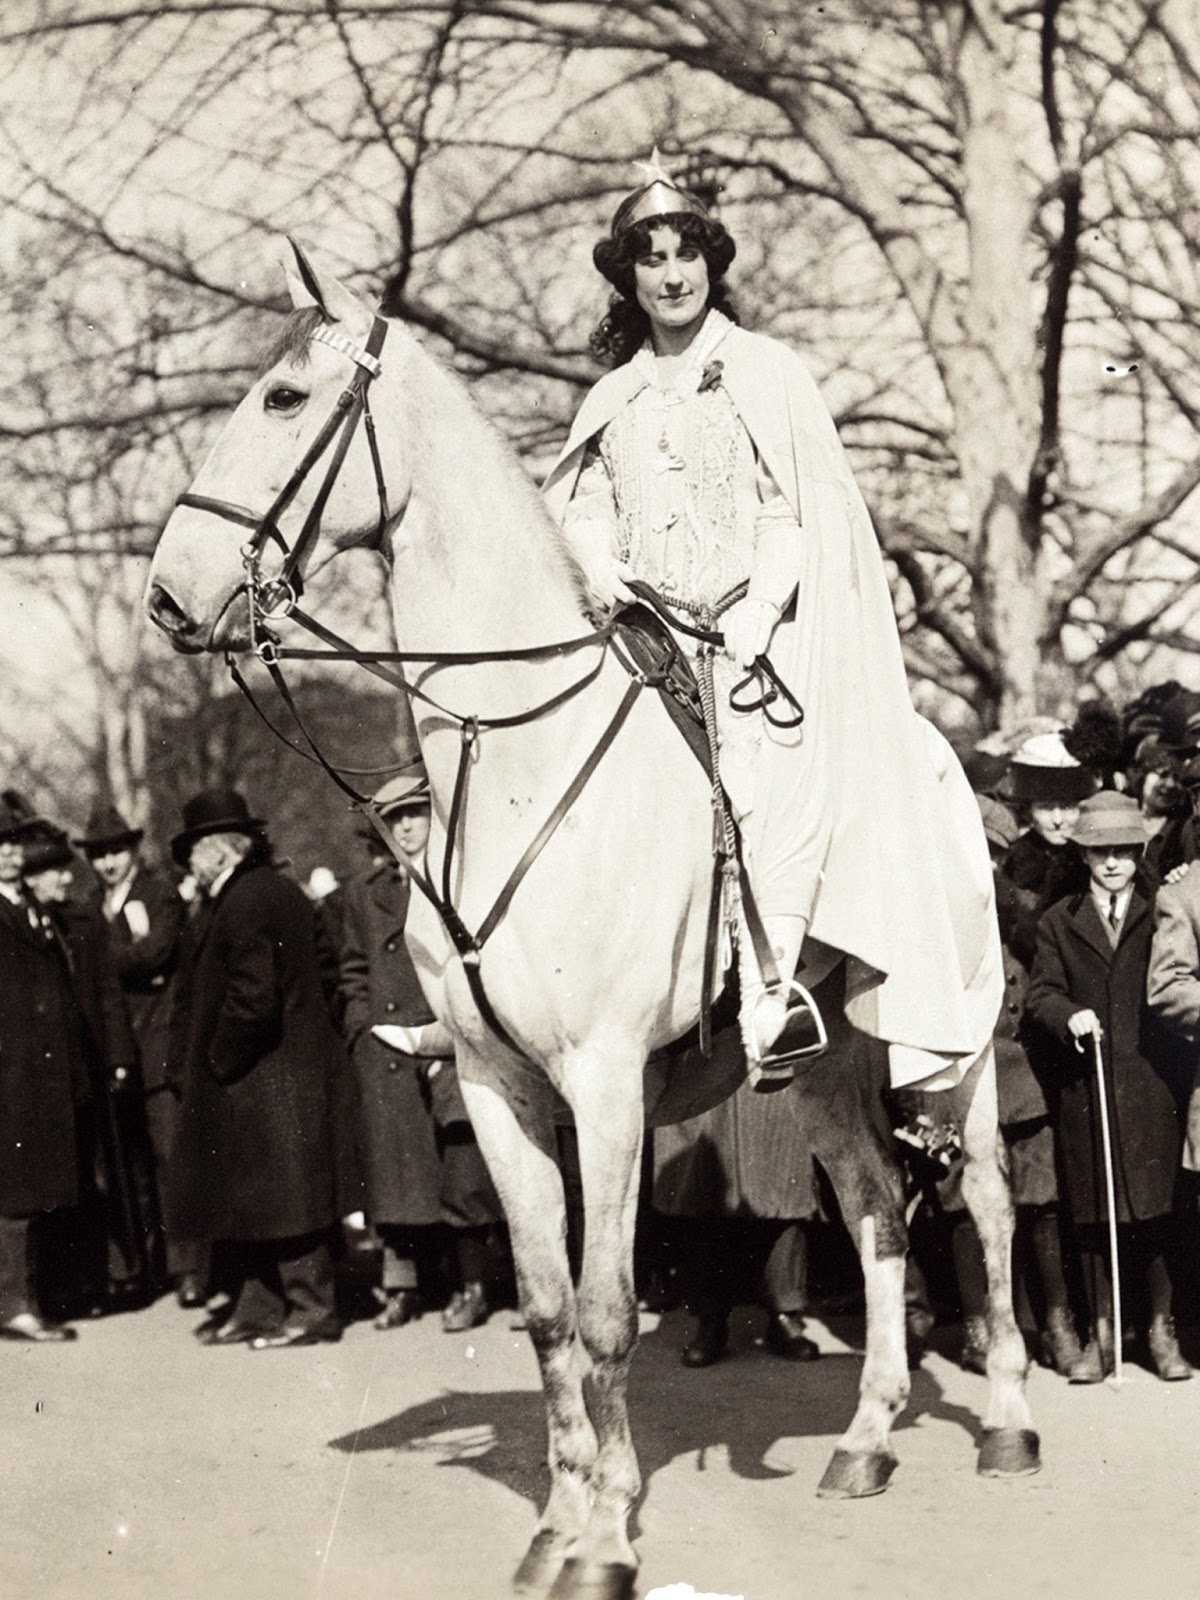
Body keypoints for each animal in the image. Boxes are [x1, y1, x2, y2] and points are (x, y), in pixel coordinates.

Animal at [145, 246, 1036, 1600]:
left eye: (284, 398)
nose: (165, 595)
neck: (514, 752)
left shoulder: (606, 1079)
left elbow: (613, 1309)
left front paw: (610, 1541)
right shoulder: (497, 1083)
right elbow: (549, 1307)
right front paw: (558, 1524)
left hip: (953, 1038)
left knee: (981, 1197)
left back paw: (1008, 1421)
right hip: (828, 1059)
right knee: (880, 1203)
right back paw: (867, 1438)